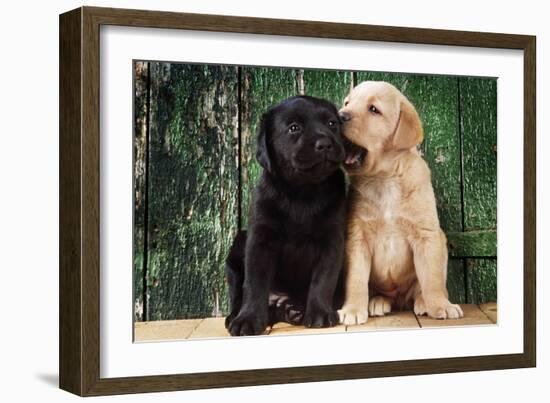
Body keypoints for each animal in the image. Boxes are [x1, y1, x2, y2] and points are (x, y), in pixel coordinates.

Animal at [226, 96, 348, 336]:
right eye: (294, 128)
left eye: (332, 124)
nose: (325, 144)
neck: (302, 191)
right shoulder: (260, 239)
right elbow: (254, 283)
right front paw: (248, 320)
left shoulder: (332, 240)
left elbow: (324, 279)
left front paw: (320, 314)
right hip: (237, 249)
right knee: (238, 293)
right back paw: (237, 316)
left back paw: (294, 310)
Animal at [338, 82, 464, 326]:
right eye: (347, 102)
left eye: (374, 109)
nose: (339, 116)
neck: (384, 179)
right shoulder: (357, 237)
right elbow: (356, 279)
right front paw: (352, 309)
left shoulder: (426, 235)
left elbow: (432, 279)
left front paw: (440, 305)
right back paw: (377, 301)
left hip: (441, 242)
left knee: (423, 287)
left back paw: (424, 302)